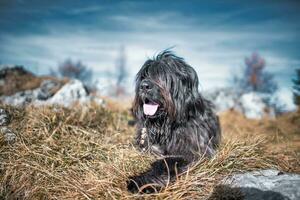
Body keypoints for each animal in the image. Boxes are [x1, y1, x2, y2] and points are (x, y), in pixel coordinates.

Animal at [126, 50, 220, 193]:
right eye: (144, 76)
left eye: (162, 75)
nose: (144, 86)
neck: (167, 124)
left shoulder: (197, 151)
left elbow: (166, 162)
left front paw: (141, 182)